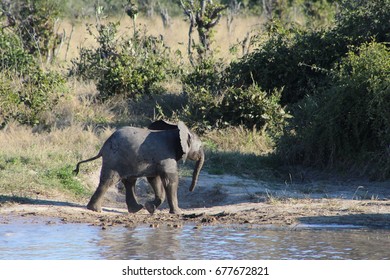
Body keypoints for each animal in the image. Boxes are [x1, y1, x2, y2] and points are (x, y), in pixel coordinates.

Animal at [74, 120, 206, 214]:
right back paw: (95, 210)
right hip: (114, 158)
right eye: (200, 147)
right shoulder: (166, 156)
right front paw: (178, 213)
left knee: (129, 182)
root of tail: (103, 147)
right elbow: (170, 180)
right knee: (109, 180)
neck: (176, 132)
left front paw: (150, 208)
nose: (190, 189)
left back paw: (135, 209)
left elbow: (154, 179)